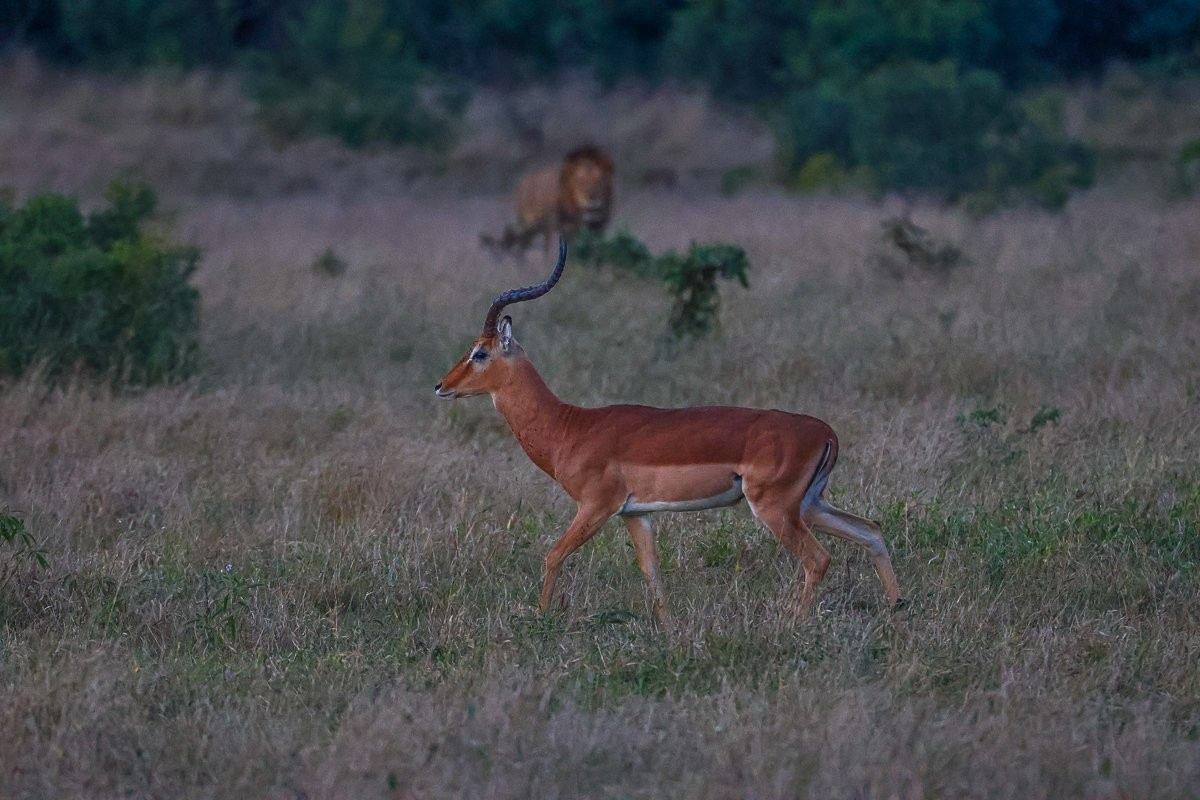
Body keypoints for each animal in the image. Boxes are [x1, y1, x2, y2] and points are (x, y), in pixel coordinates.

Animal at [435, 240, 903, 625]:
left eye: (479, 353)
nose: (441, 385)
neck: (569, 426)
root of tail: (825, 432)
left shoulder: (596, 506)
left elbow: (552, 554)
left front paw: (539, 618)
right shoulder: (635, 514)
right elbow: (651, 570)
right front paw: (668, 628)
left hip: (775, 508)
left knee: (818, 559)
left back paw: (794, 624)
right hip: (809, 504)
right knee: (872, 531)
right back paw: (896, 607)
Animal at [482, 146, 615, 253]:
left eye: (599, 180)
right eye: (580, 181)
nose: (592, 197)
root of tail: (524, 180)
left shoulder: (600, 226)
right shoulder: (555, 227)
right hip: (528, 222)